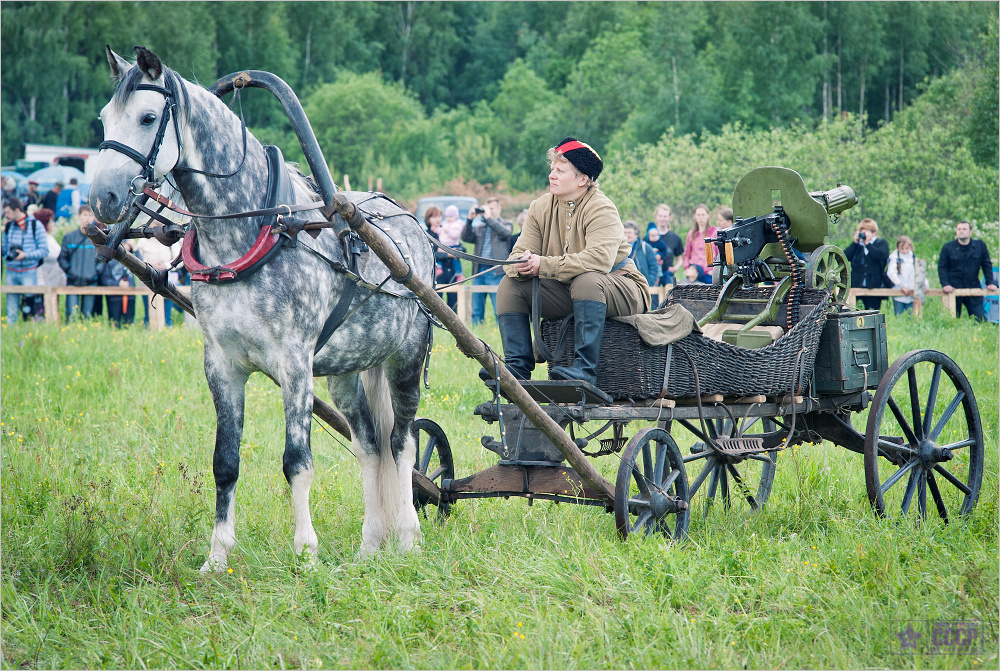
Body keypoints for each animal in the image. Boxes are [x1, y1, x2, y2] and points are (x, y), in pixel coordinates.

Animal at [93, 46, 434, 572]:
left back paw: (408, 538)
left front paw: (306, 553)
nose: (103, 199)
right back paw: (370, 544)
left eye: (148, 117)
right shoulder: (222, 365)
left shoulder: (294, 364)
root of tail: (410, 222)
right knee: (369, 446)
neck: (252, 231)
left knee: (402, 442)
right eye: (104, 119)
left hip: (406, 358)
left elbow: (297, 461)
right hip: (347, 370)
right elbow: (225, 462)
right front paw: (217, 558)